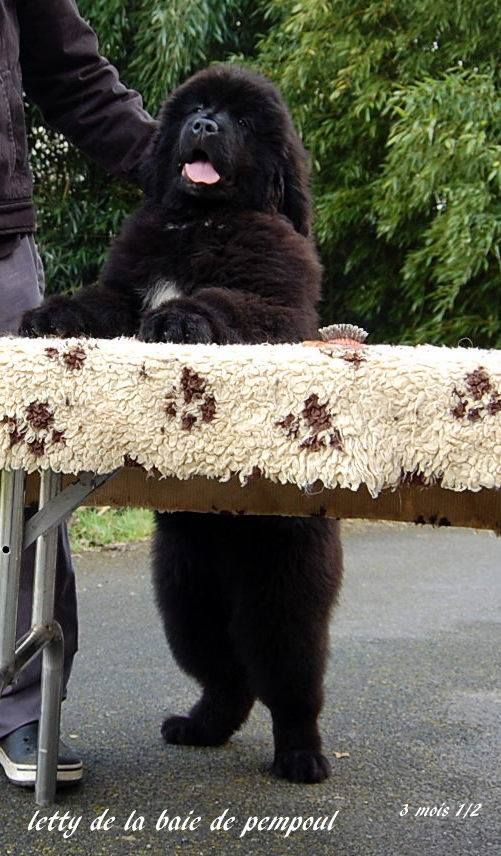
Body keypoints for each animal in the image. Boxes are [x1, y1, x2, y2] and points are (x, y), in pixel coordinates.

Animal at [22, 65, 343, 783]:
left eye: (241, 120)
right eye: (197, 106)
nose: (203, 125)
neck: (200, 221)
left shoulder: (273, 303)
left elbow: (225, 299)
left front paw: (177, 318)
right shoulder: (126, 285)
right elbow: (100, 301)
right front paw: (50, 315)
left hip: (282, 585)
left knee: (290, 680)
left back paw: (301, 754)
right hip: (184, 592)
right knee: (228, 677)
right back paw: (199, 727)